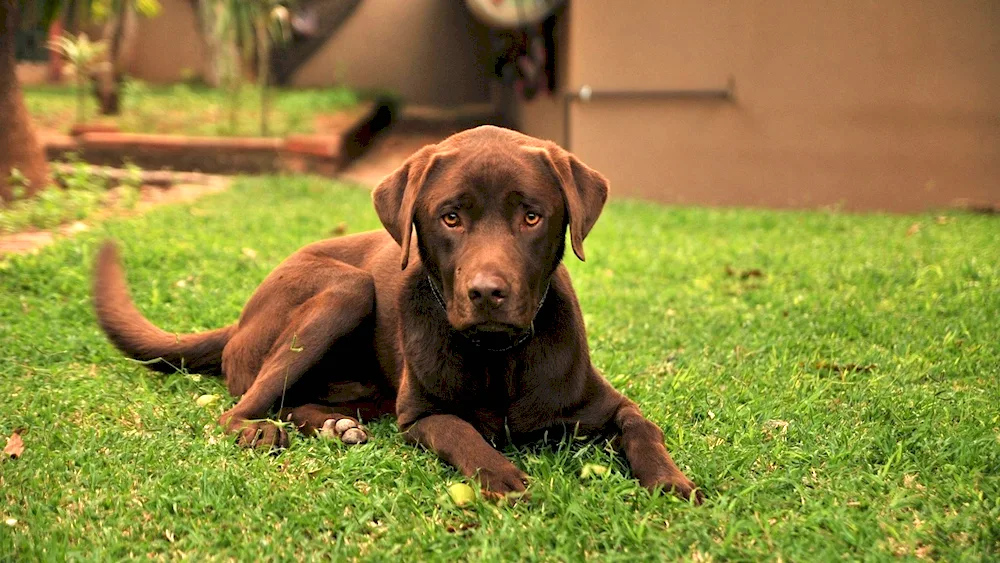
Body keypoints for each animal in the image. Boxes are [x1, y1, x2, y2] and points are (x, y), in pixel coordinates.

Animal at [95, 126, 704, 502]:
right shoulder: (420, 415)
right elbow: (463, 432)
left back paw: (335, 425)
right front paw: (502, 475)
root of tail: (240, 320)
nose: (486, 292)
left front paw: (672, 482)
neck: (497, 358)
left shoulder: (606, 404)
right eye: (451, 218)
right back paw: (263, 431)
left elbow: (643, 427)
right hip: (345, 289)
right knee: (237, 409)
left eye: (531, 216)